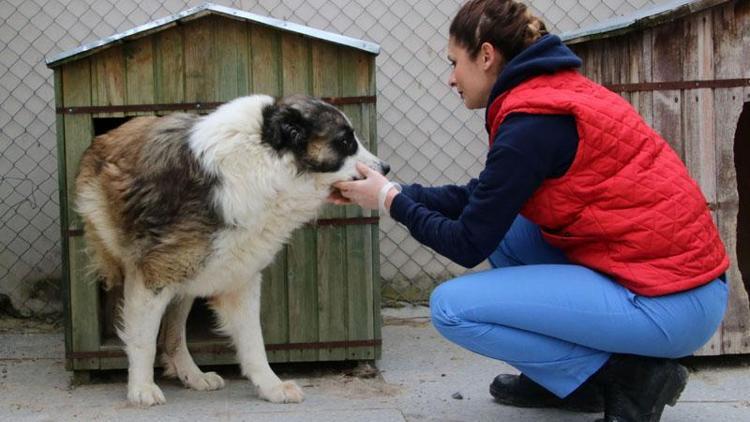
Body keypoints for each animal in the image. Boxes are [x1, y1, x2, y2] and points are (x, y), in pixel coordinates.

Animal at [75, 95, 388, 406]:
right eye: (346, 142)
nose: (385, 169)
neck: (264, 162)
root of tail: (108, 135)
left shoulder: (240, 277)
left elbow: (253, 342)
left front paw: (270, 386)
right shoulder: (153, 276)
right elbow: (143, 339)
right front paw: (141, 388)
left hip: (191, 274)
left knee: (174, 336)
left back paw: (192, 375)